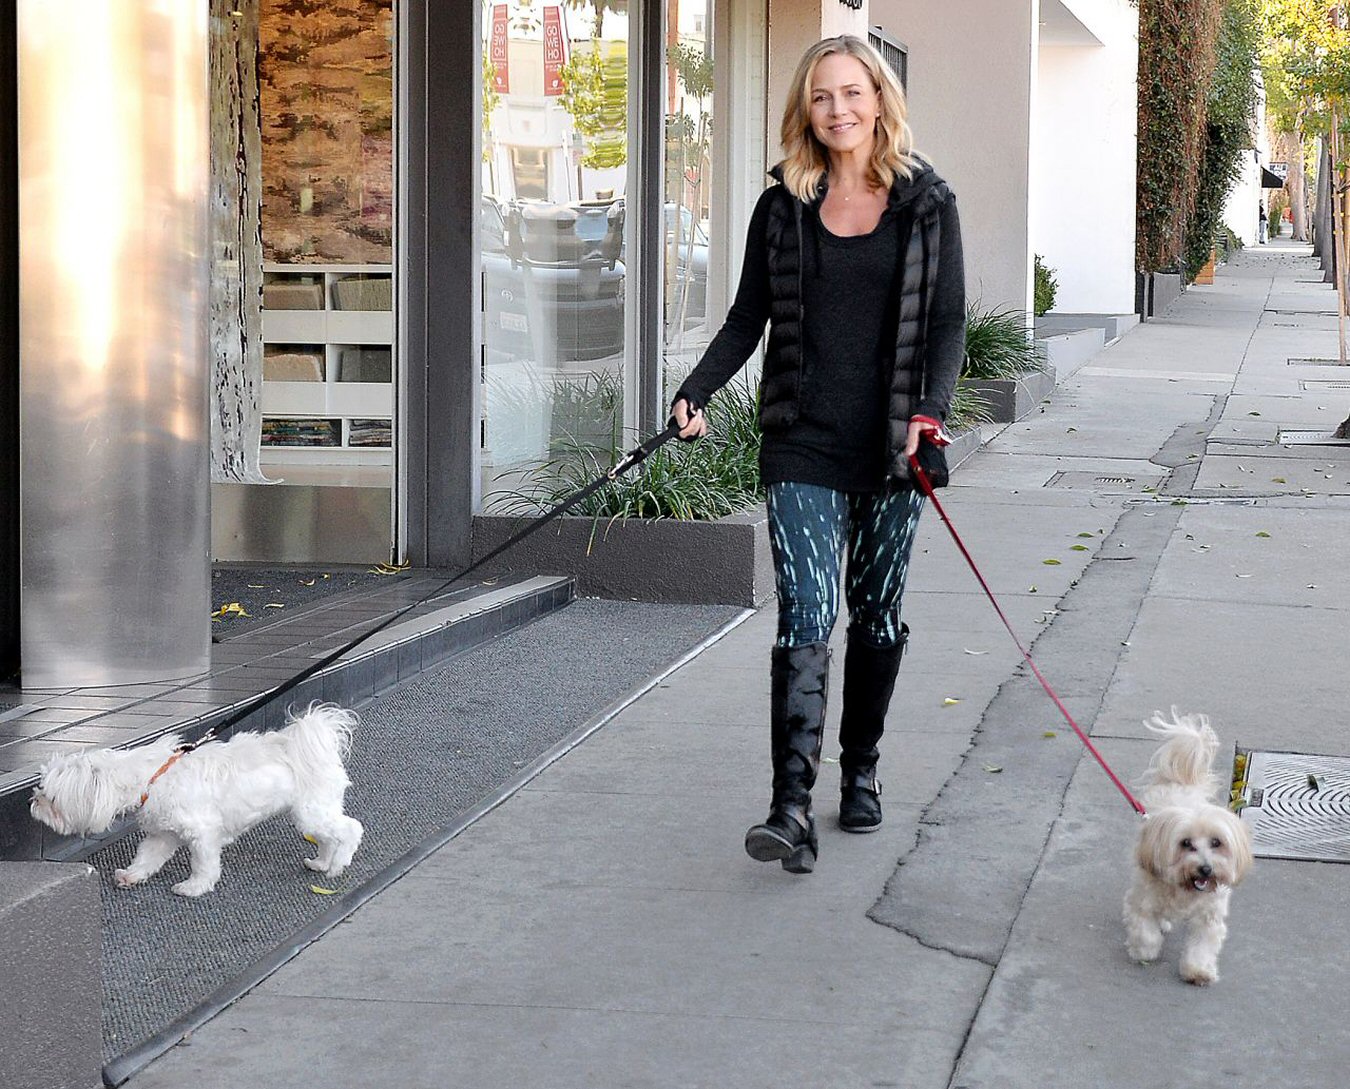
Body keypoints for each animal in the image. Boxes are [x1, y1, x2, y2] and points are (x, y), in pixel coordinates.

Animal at [32, 701, 364, 896]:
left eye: (50, 797)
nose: (32, 802)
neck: (152, 777)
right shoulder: (163, 833)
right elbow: (147, 857)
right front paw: (132, 875)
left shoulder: (202, 833)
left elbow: (204, 864)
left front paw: (194, 887)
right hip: (312, 814)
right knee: (329, 837)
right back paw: (321, 863)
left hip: (312, 810)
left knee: (351, 830)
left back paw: (337, 865)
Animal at [1117, 712, 1252, 982]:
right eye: (1185, 843)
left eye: (1216, 842)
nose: (1205, 869)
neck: (1185, 889)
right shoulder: (1143, 898)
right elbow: (1144, 928)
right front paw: (1145, 950)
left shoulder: (1209, 915)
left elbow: (1202, 944)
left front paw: (1197, 970)